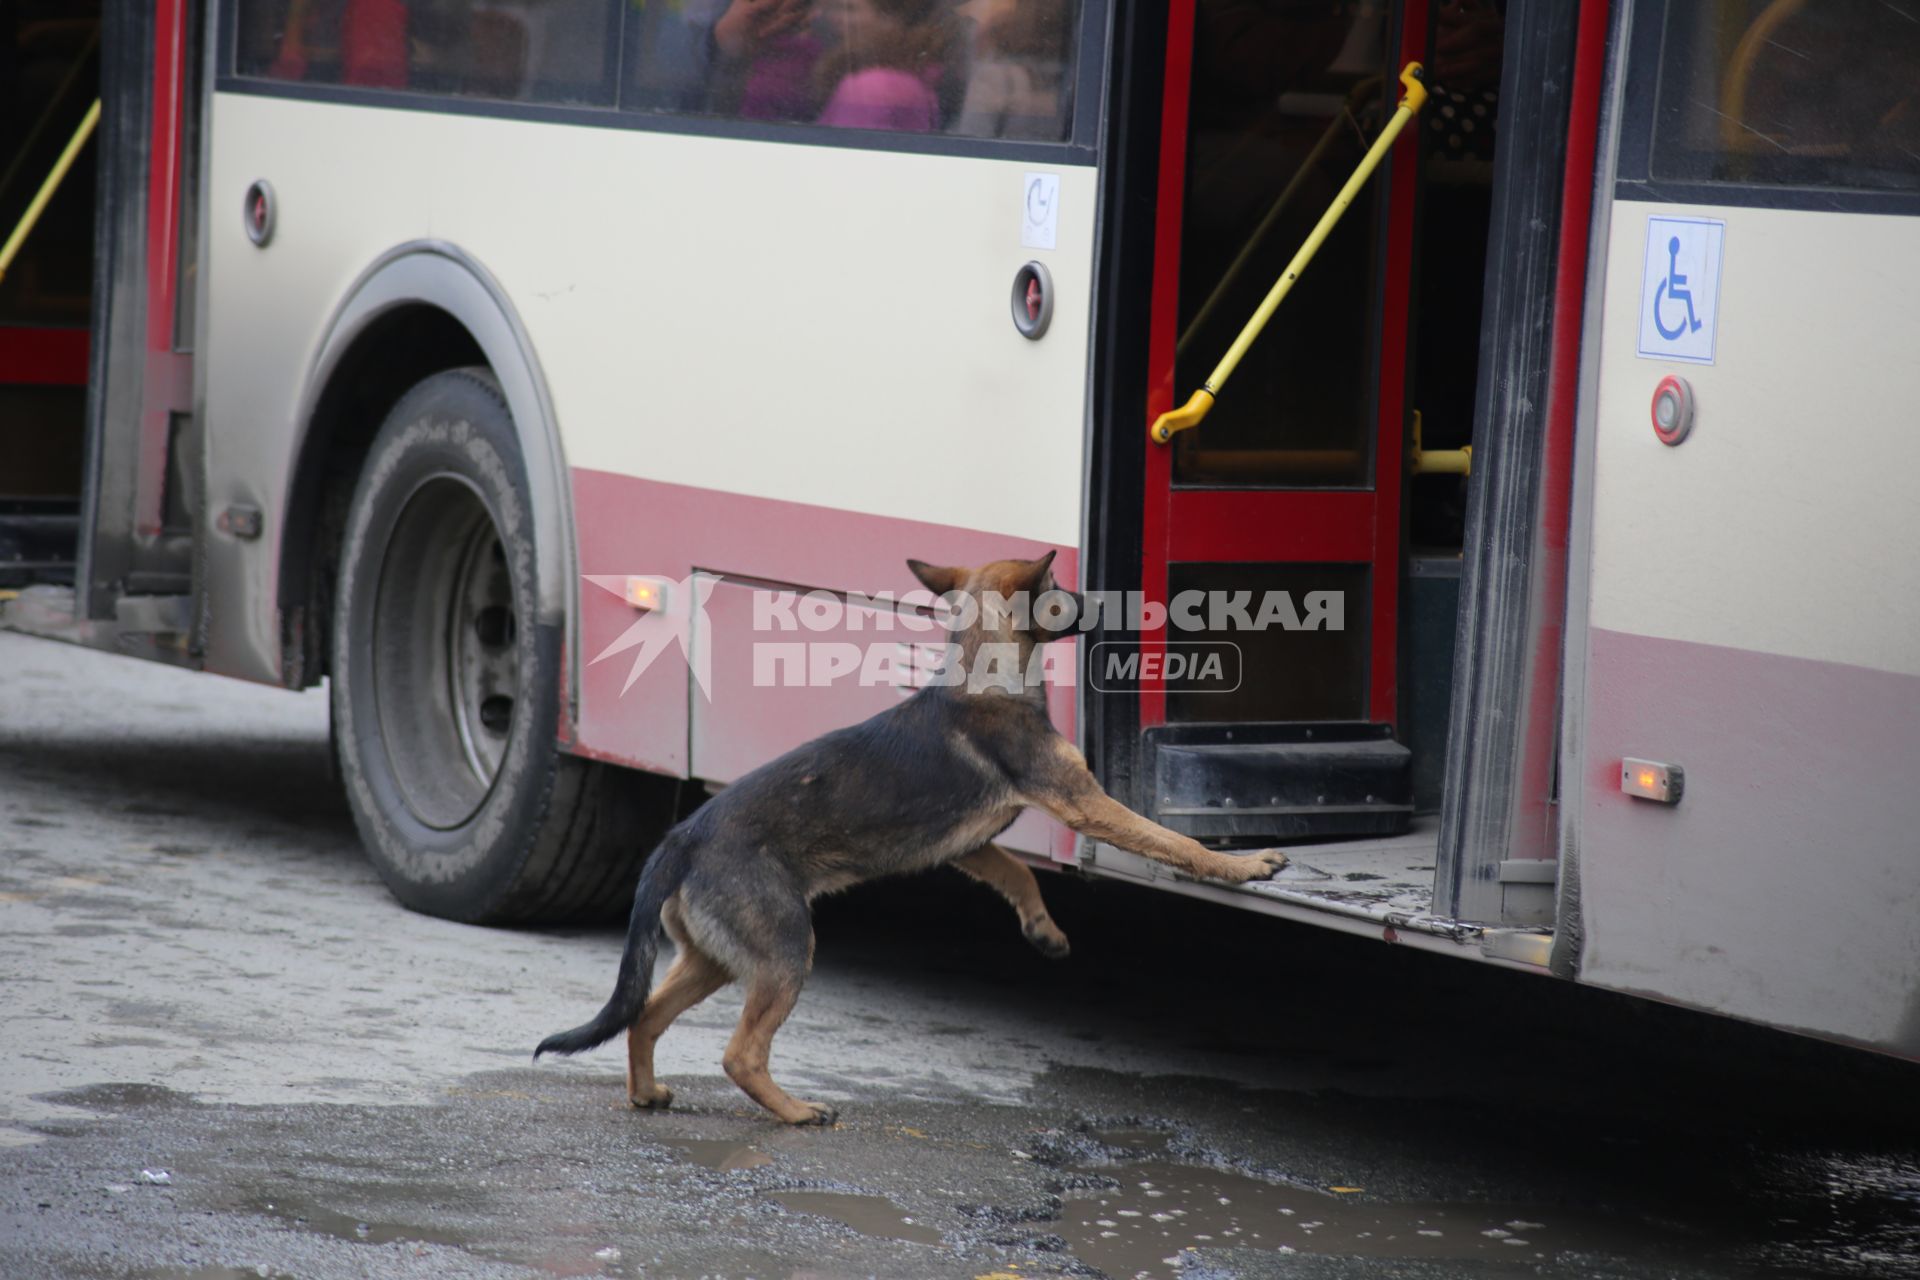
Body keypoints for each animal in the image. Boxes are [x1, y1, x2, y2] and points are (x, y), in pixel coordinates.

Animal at [533, 556, 1290, 1128]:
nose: (1111, 603)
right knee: (738, 1054)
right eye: (1060, 589)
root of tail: (679, 840)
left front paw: (1042, 930)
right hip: (783, 950)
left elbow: (1021, 874)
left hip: (716, 958)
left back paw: (646, 1092)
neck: (986, 669)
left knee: (643, 1016)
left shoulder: (970, 847)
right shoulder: (1085, 803)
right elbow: (1170, 842)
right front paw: (1243, 863)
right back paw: (797, 1111)